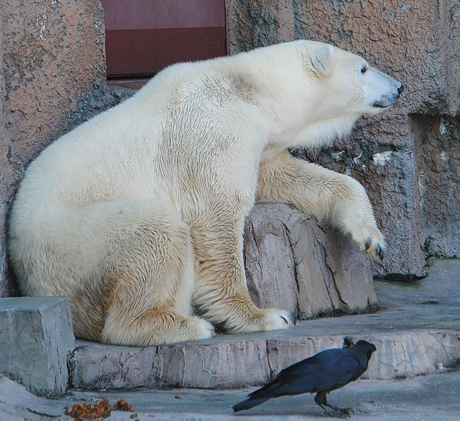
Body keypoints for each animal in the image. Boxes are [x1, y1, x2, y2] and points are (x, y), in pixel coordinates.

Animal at [7, 40, 402, 344]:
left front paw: (371, 238)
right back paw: (183, 325)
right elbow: (218, 214)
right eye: (364, 68)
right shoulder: (215, 131)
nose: (399, 87)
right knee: (154, 229)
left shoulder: (259, 142)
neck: (248, 89)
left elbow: (285, 175)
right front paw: (264, 316)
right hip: (75, 241)